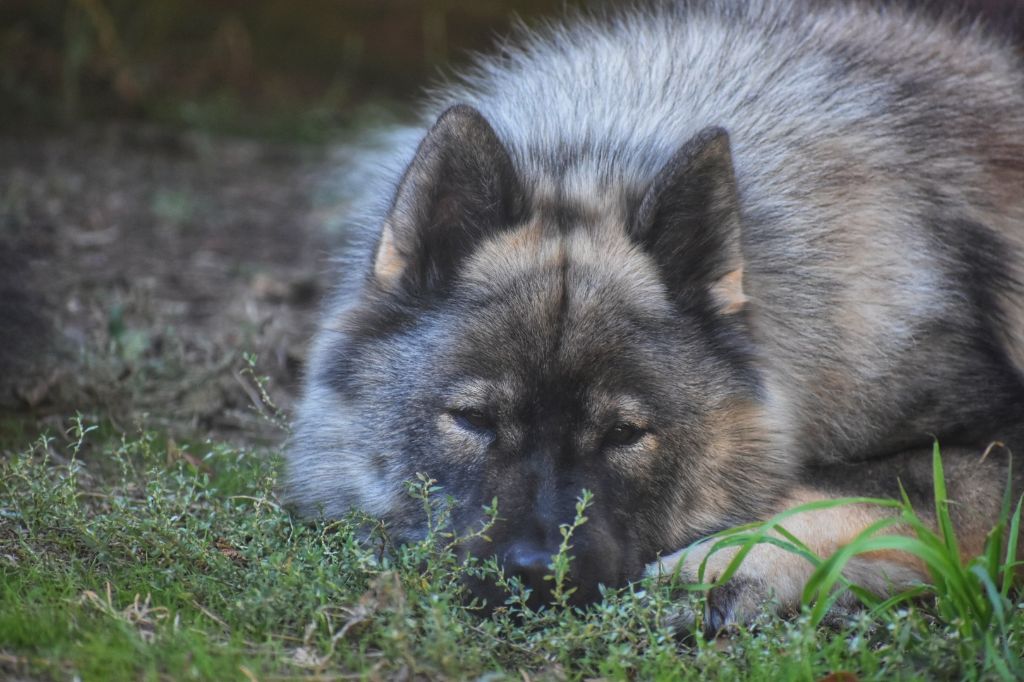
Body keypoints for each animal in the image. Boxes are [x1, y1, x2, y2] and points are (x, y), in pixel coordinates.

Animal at [286, 0, 1024, 626]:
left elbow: (866, 491)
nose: (538, 572)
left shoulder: (995, 444)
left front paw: (727, 560)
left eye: (624, 433)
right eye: (473, 420)